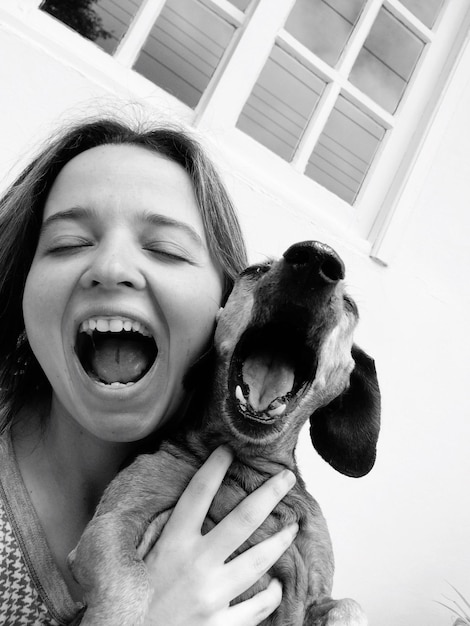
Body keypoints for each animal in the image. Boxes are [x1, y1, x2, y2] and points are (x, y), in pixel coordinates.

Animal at [67, 240, 382, 624]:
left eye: (350, 305)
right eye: (256, 271)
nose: (317, 256)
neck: (244, 462)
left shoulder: (317, 594)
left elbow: (349, 605)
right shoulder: (108, 529)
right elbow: (131, 583)